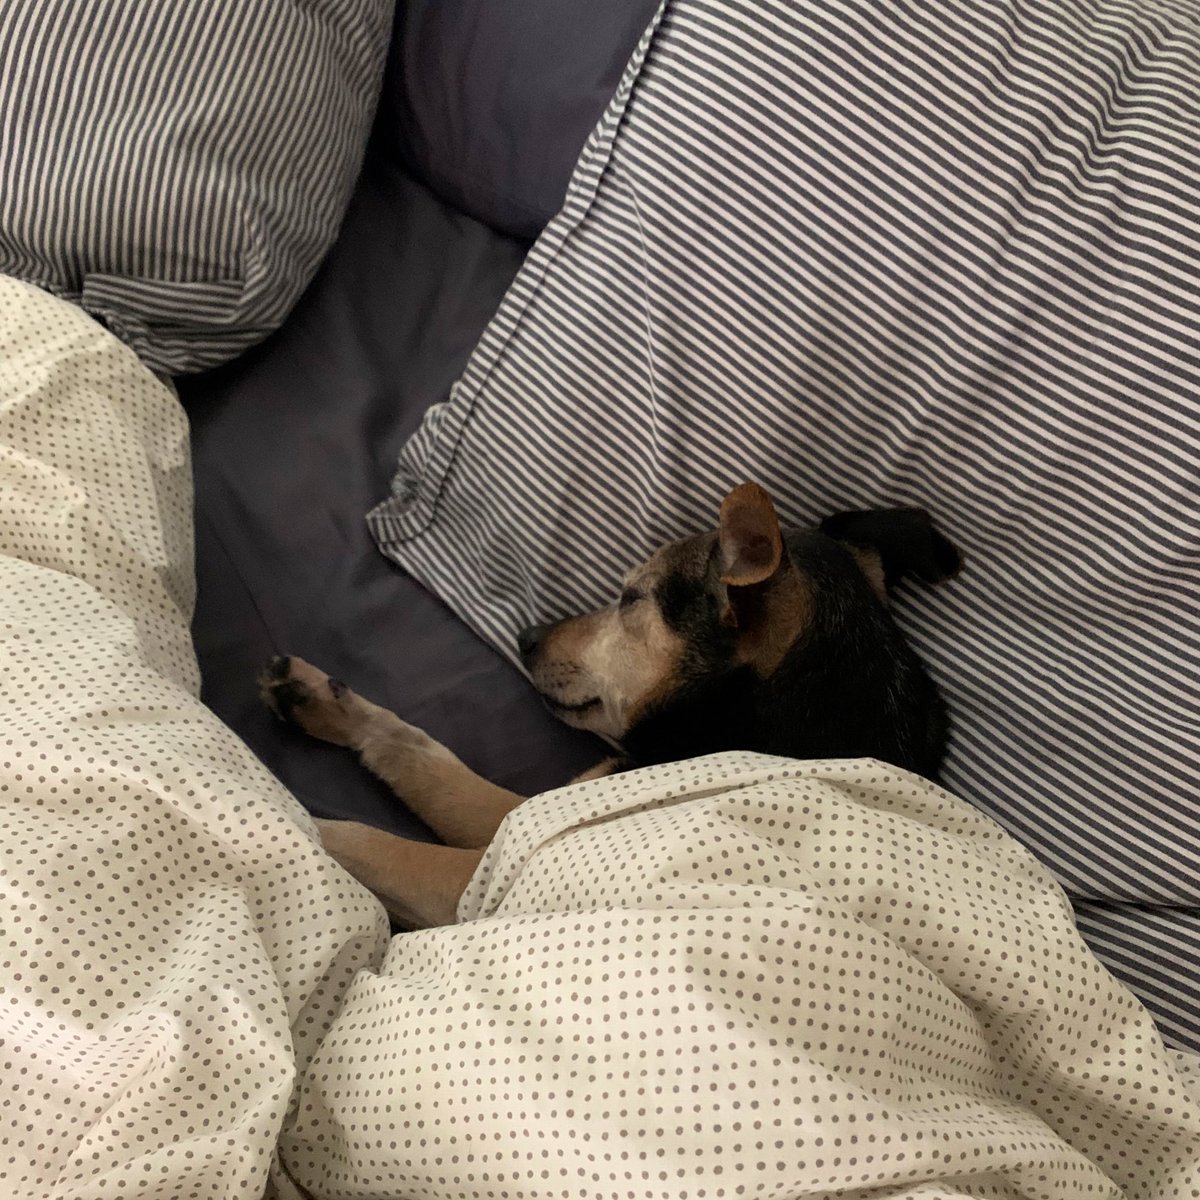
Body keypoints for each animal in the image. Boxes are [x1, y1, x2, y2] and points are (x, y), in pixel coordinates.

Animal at [260, 484, 955, 926]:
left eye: (629, 599)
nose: (524, 637)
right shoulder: (531, 820)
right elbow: (420, 754)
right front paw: (319, 699)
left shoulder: (476, 880)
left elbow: (363, 840)